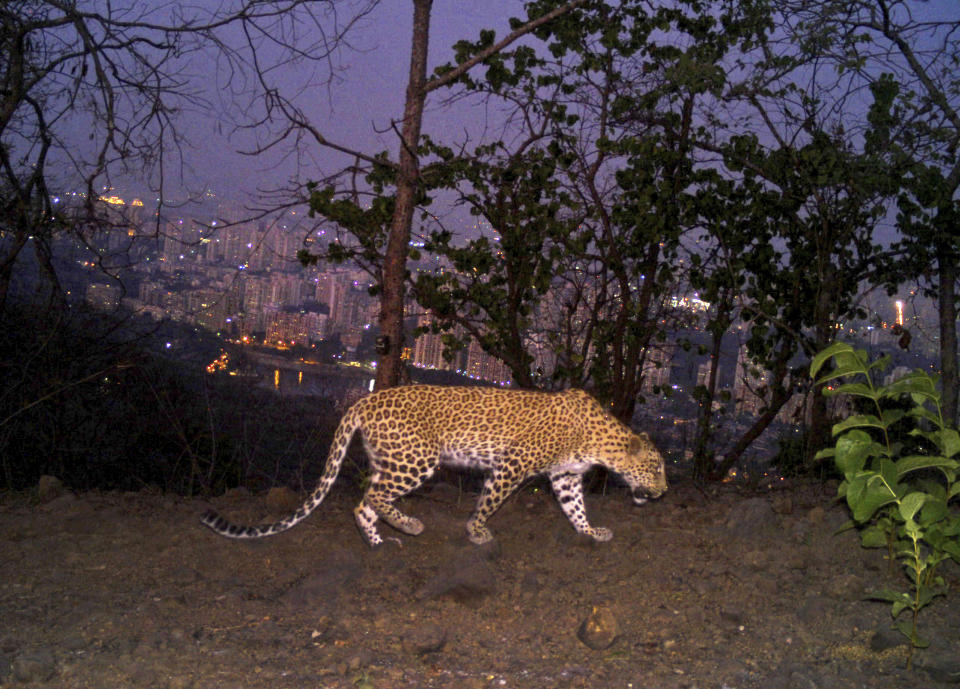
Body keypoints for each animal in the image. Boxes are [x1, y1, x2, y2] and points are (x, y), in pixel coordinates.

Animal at [202, 384, 668, 544]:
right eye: (657, 468)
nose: (663, 493)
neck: (600, 442)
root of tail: (363, 400)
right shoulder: (511, 466)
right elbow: (489, 502)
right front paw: (477, 531)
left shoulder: (566, 476)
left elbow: (575, 508)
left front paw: (590, 531)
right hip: (417, 460)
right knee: (372, 495)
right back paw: (409, 525)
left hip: (390, 459)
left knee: (363, 502)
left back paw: (379, 542)